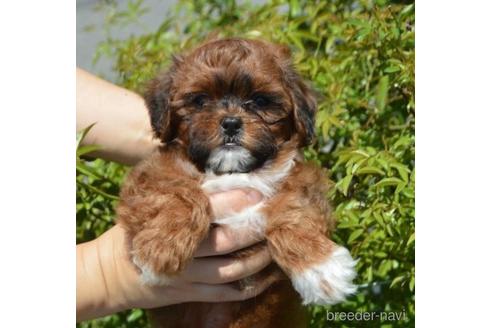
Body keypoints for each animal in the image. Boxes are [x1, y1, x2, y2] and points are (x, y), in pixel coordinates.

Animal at [117, 37, 356, 326]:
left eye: (260, 101)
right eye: (200, 101)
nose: (231, 122)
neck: (233, 172)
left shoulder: (302, 177)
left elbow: (293, 208)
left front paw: (322, 268)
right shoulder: (151, 173)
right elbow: (179, 192)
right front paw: (160, 249)